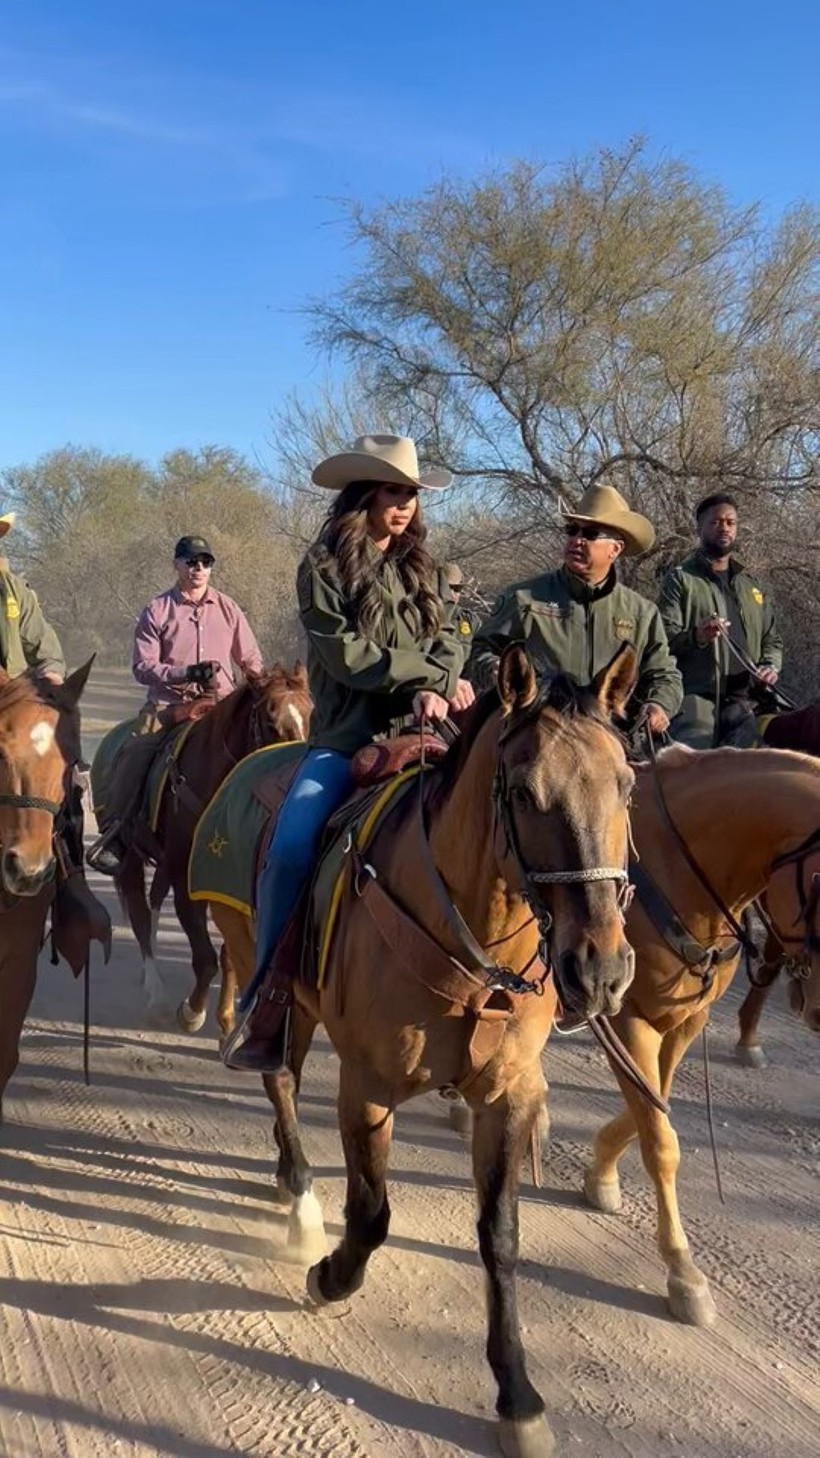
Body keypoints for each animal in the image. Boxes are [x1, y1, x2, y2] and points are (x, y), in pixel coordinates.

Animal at [111, 664, 309, 1026]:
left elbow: (230, 952)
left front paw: (227, 1016)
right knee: (140, 914)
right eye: (270, 720)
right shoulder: (185, 880)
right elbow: (205, 957)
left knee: (154, 900)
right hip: (130, 859)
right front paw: (192, 1011)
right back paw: (156, 993)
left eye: (310, 713)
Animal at [207, 647, 636, 1458]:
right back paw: (300, 1201)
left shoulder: (506, 1099)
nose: (599, 971)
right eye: (525, 792)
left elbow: (500, 1236)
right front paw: (328, 1277)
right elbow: (372, 1214)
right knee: (279, 1077)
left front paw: (517, 1395)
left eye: (627, 784)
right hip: (260, 970)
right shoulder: (368, 1088)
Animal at [580, 746, 817, 1329]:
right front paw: (683, 1271)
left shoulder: (686, 1020)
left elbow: (652, 1109)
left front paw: (601, 1170)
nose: (818, 1007)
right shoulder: (628, 1019)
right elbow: (660, 1140)